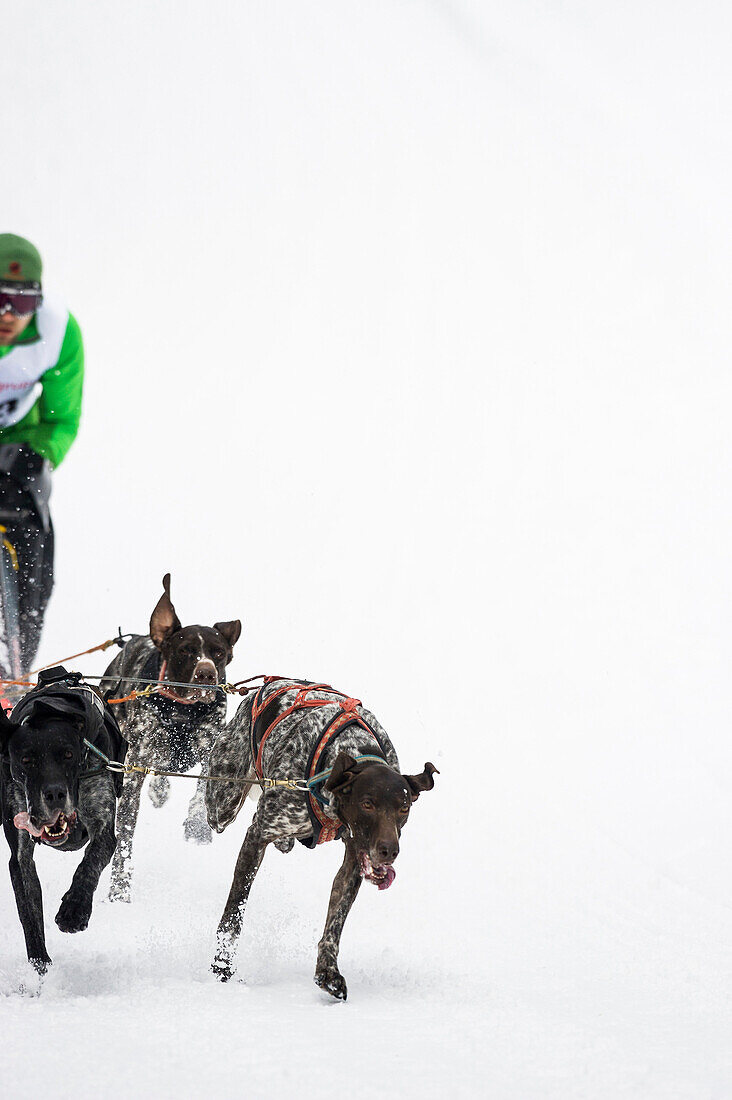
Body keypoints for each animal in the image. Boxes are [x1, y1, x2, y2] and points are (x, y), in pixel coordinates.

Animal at [0, 664, 126, 976]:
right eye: (26, 760)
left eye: (68, 754)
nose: (55, 793)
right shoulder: (20, 853)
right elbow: (29, 912)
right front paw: (39, 965)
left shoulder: (102, 824)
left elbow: (90, 863)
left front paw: (75, 909)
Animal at [100, 576, 239, 902]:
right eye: (186, 650)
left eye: (218, 653)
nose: (206, 674)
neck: (182, 714)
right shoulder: (136, 764)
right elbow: (125, 833)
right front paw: (119, 888)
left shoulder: (211, 748)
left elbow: (203, 790)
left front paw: (198, 825)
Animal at [202, 673, 435, 1003]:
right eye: (367, 804)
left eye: (404, 807)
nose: (389, 851)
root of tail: (267, 683)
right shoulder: (258, 836)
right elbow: (234, 912)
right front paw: (222, 965)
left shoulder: (354, 859)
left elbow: (334, 924)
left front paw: (328, 972)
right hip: (223, 801)